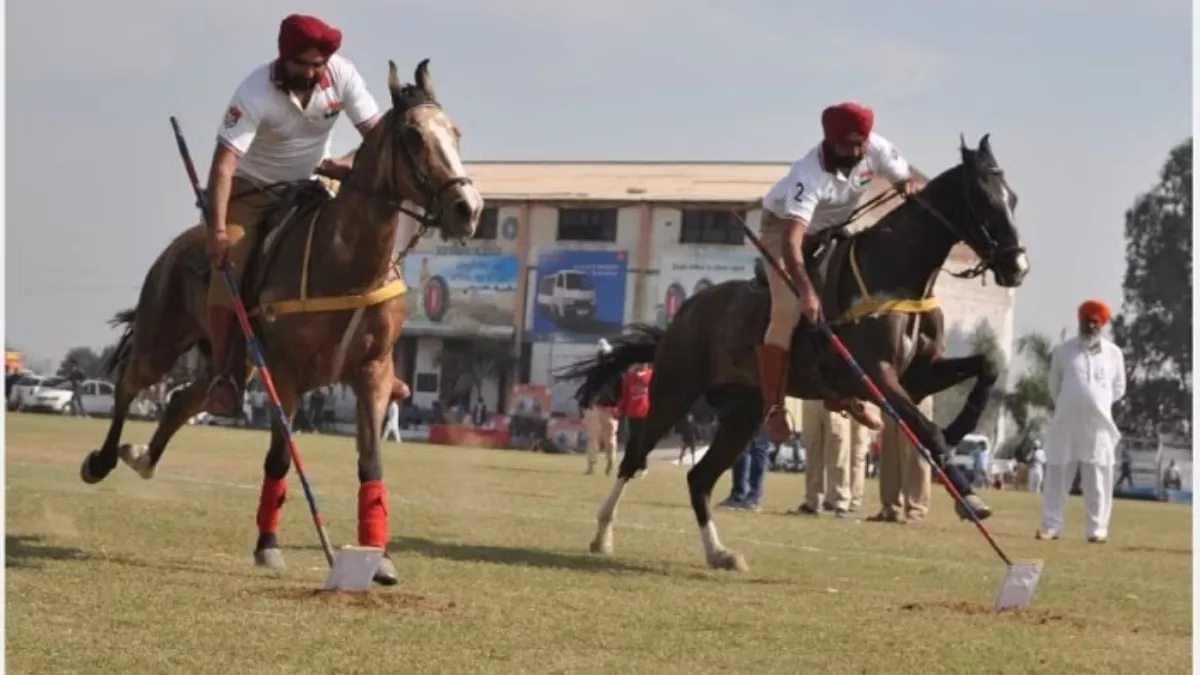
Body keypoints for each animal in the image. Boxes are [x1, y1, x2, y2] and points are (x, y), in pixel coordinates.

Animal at [77, 59, 482, 583]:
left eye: (455, 132)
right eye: (413, 136)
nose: (468, 210)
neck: (348, 261)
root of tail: (179, 246)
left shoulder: (374, 370)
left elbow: (371, 463)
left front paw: (379, 557)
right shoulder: (284, 373)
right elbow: (279, 458)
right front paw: (268, 545)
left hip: (228, 363)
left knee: (184, 400)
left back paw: (143, 458)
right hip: (162, 336)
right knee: (131, 383)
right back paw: (103, 460)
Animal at [556, 133, 1027, 569]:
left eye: (1013, 198)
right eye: (982, 198)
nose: (1017, 267)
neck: (897, 275)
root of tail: (681, 317)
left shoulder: (918, 373)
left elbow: (985, 367)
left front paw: (962, 430)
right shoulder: (875, 374)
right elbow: (925, 428)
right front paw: (970, 497)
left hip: (742, 413)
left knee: (699, 479)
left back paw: (720, 553)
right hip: (673, 394)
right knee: (634, 459)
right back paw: (602, 535)